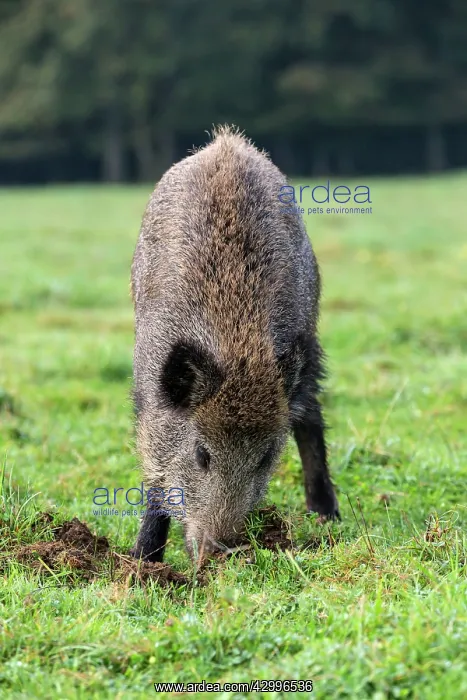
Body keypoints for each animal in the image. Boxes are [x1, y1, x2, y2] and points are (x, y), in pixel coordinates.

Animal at [130, 126, 339, 563]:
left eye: (264, 458)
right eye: (201, 454)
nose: (219, 552)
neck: (237, 346)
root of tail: (227, 141)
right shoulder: (149, 397)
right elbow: (157, 478)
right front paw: (142, 563)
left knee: (310, 417)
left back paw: (326, 516)